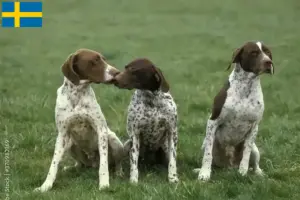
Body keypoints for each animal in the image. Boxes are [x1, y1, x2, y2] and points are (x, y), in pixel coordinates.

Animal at [34, 48, 125, 192]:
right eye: (94, 61)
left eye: (104, 59)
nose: (117, 72)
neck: (77, 93)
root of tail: (92, 163)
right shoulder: (62, 134)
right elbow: (53, 164)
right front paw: (45, 186)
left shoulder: (101, 131)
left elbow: (103, 165)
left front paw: (104, 184)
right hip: (70, 144)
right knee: (80, 164)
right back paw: (71, 168)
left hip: (114, 141)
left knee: (116, 163)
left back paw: (119, 173)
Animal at [195, 41, 274, 181]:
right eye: (254, 53)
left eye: (268, 52)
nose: (268, 62)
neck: (246, 87)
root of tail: (229, 166)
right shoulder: (213, 122)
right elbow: (208, 155)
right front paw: (204, 173)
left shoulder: (254, 127)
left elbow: (246, 155)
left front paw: (243, 172)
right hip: (205, 145)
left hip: (255, 149)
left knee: (255, 164)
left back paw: (258, 173)